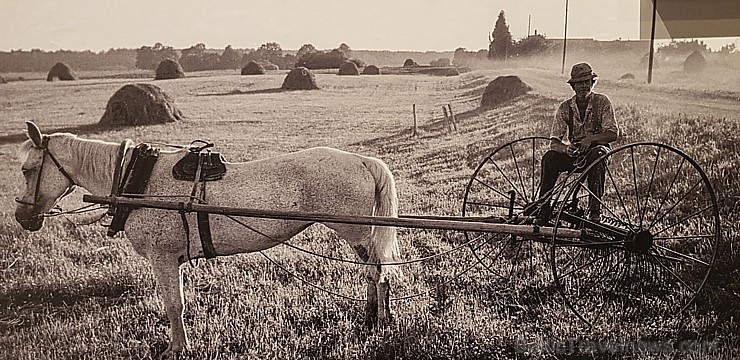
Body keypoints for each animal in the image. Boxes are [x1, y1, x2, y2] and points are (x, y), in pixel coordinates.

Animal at [14, 122, 402, 358]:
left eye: (27, 170)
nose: (21, 217)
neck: (136, 179)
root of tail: (364, 161)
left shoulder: (163, 258)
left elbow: (175, 306)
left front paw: (177, 348)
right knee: (373, 273)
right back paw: (372, 315)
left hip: (355, 231)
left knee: (377, 272)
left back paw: (381, 319)